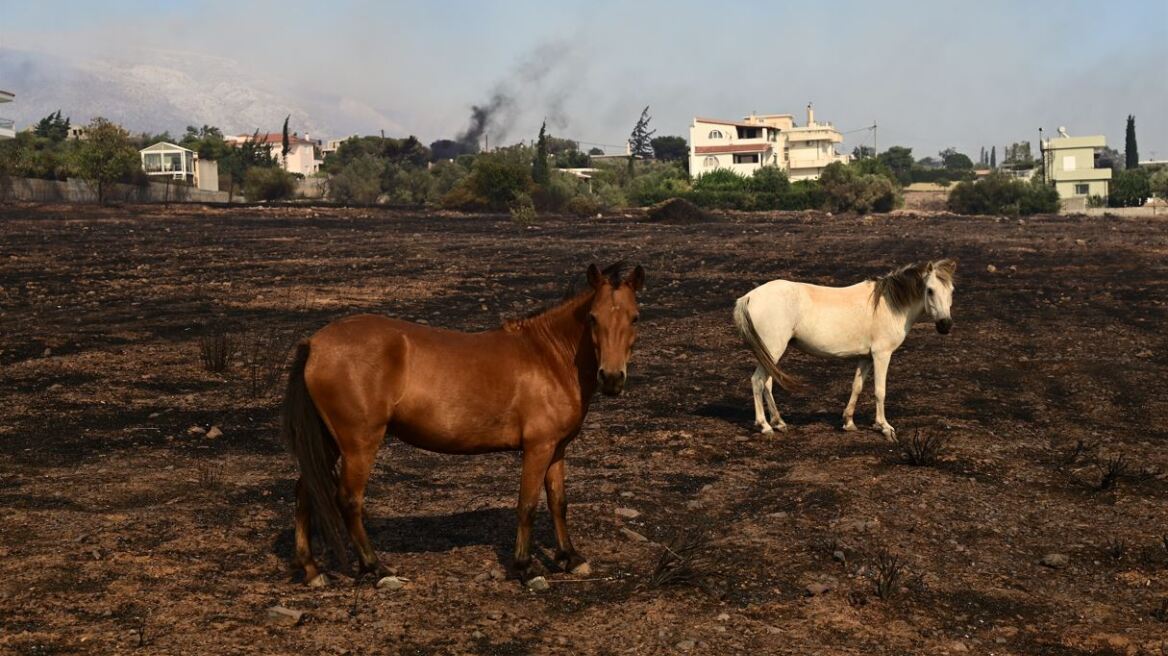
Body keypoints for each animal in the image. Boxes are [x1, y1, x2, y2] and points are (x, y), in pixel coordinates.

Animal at [283, 262, 649, 583]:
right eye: (592, 318)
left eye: (635, 317)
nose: (612, 378)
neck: (549, 356)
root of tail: (315, 344)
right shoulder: (537, 447)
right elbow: (527, 504)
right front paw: (525, 568)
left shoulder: (556, 447)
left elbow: (558, 502)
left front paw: (570, 559)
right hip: (359, 444)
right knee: (348, 499)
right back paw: (377, 570)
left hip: (330, 442)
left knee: (306, 490)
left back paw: (312, 571)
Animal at [733, 260, 953, 438]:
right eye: (930, 290)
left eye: (951, 291)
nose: (945, 325)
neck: (889, 304)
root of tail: (749, 297)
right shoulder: (881, 355)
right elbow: (880, 391)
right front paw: (884, 427)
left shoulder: (866, 357)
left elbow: (857, 386)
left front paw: (848, 422)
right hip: (772, 350)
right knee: (758, 381)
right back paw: (765, 426)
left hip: (769, 354)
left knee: (767, 383)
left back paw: (779, 422)